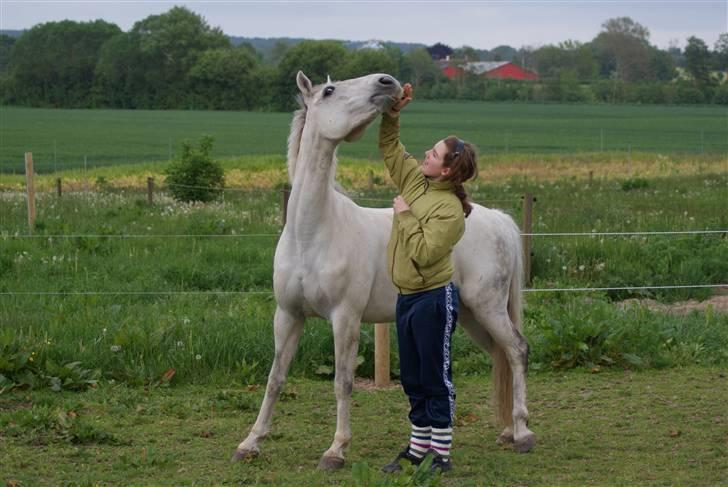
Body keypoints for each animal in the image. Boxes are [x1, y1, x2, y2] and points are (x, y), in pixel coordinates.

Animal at [233, 71, 536, 468]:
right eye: (329, 90)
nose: (387, 82)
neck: (312, 233)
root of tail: (500, 220)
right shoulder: (287, 315)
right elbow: (275, 378)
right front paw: (251, 442)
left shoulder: (345, 318)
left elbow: (342, 382)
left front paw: (336, 449)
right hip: (474, 315)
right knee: (501, 354)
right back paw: (507, 431)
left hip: (489, 307)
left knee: (516, 350)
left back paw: (522, 433)